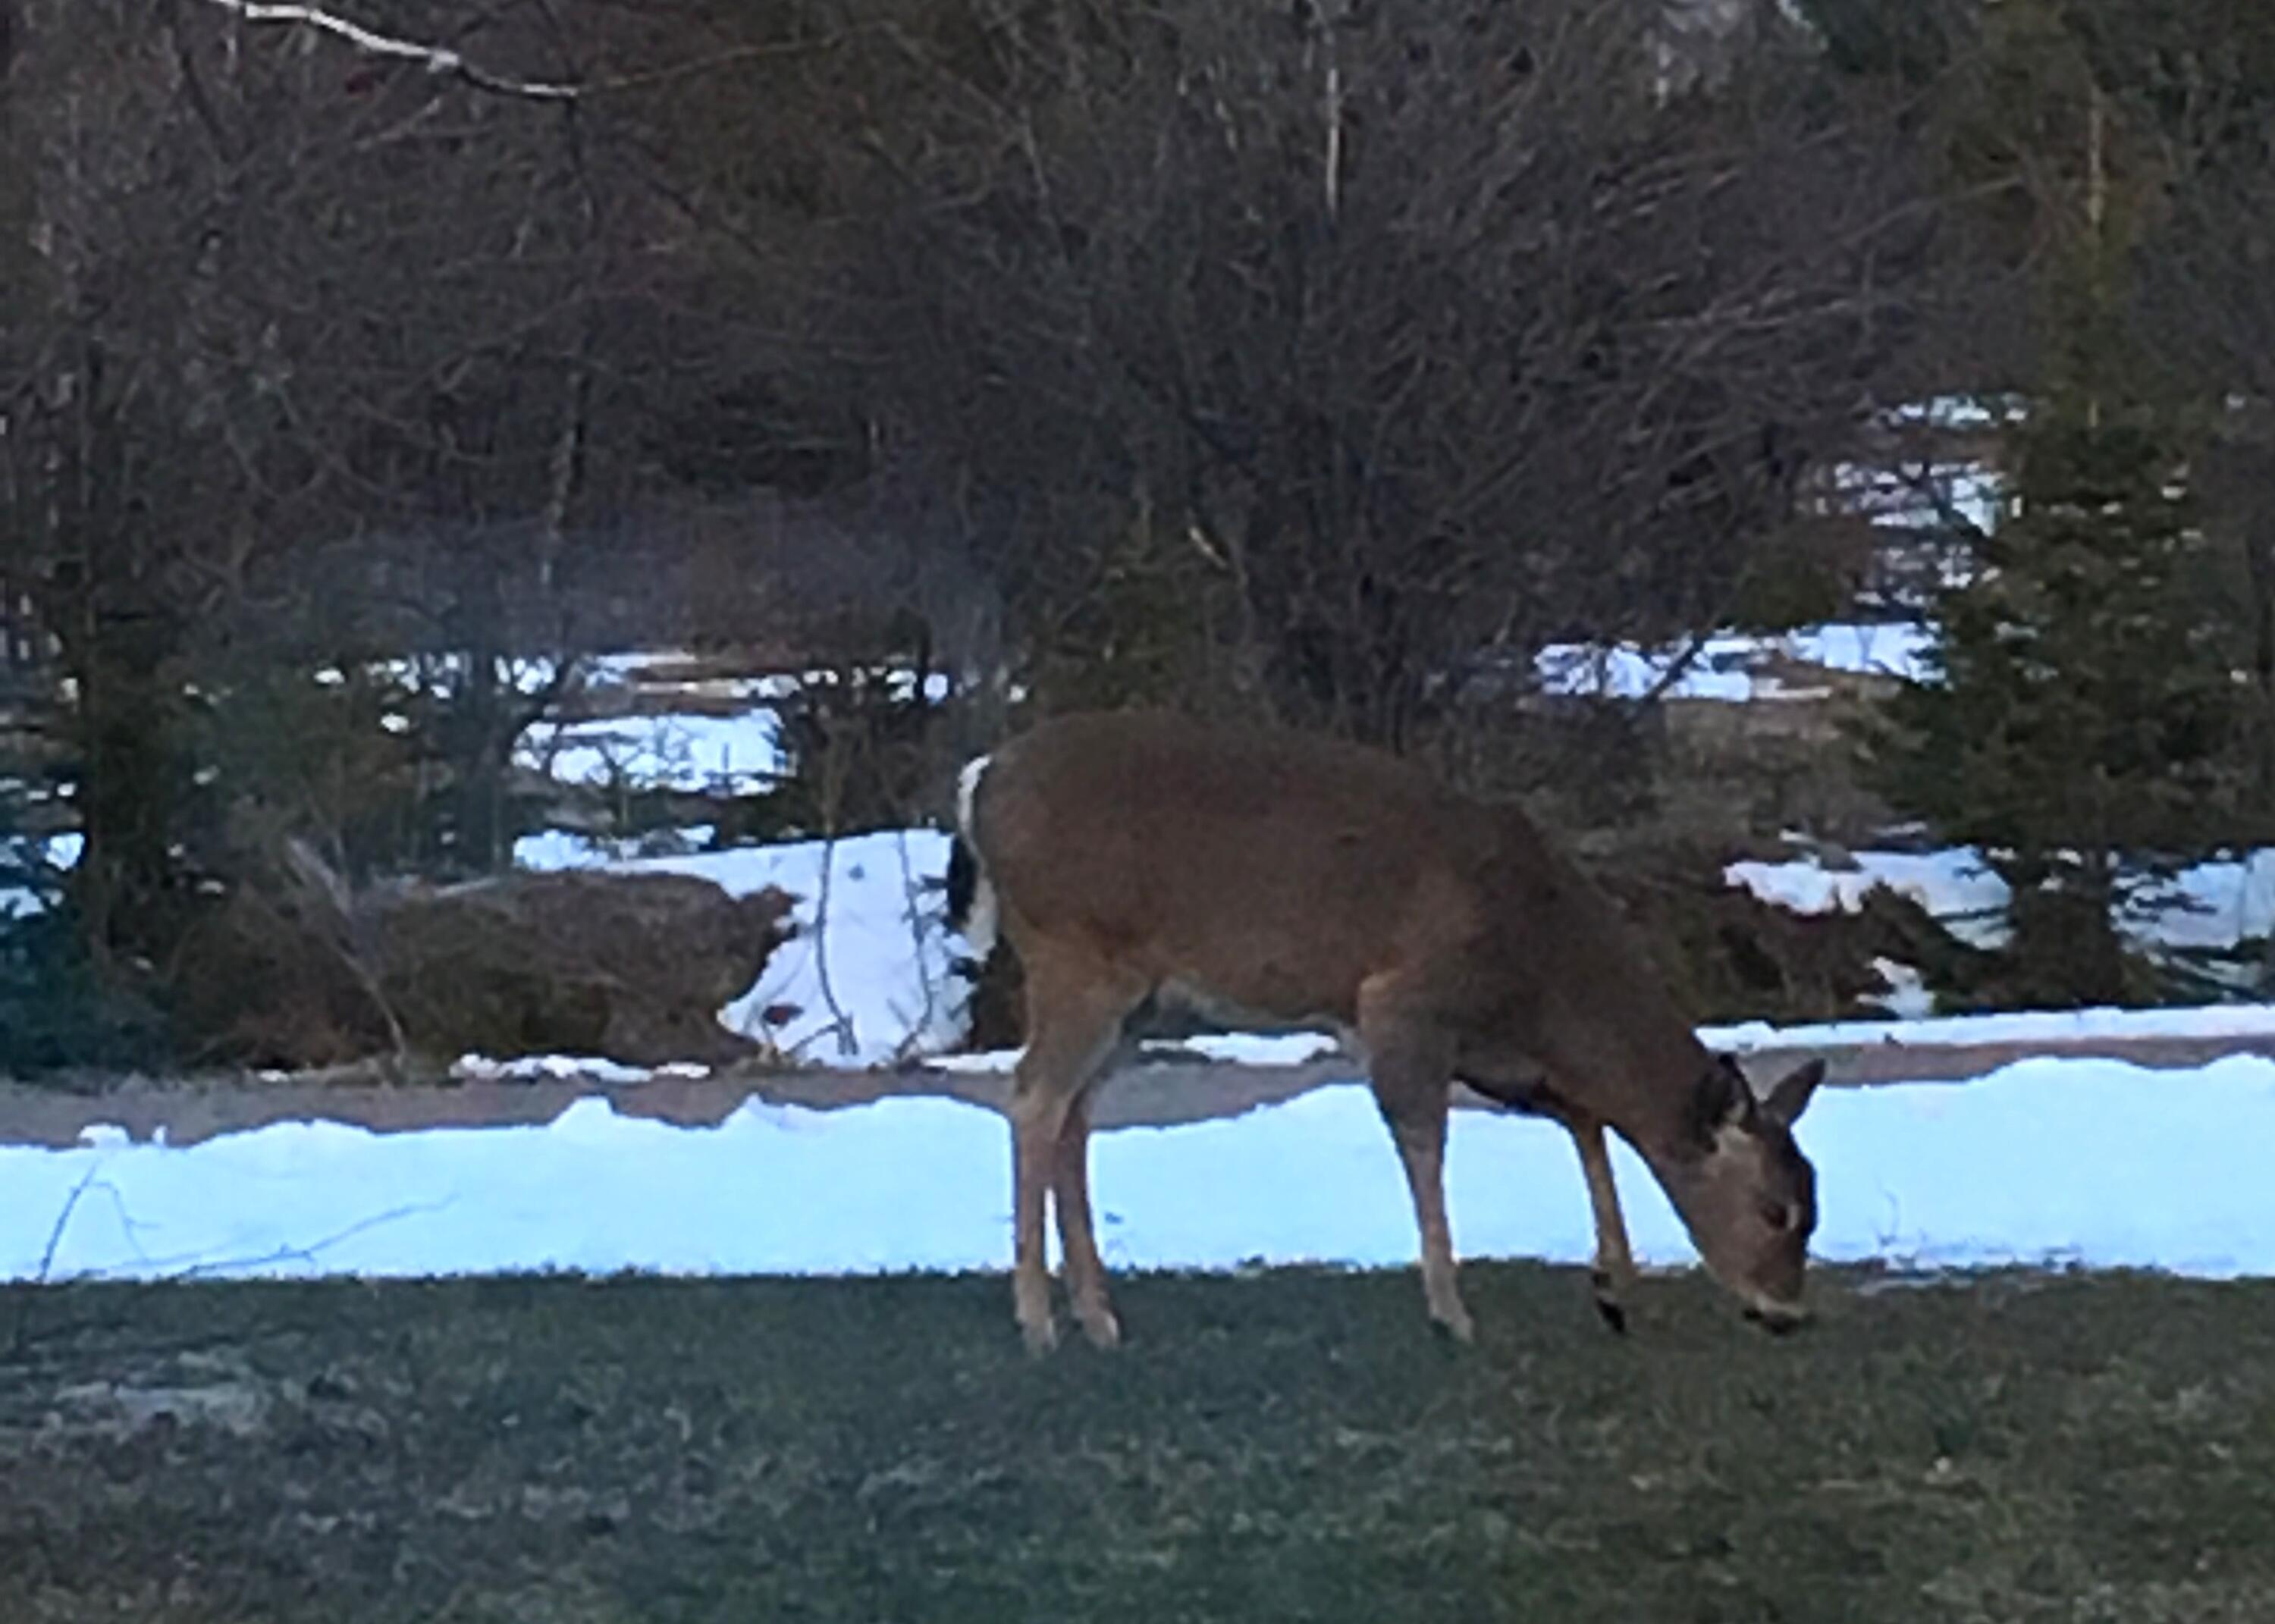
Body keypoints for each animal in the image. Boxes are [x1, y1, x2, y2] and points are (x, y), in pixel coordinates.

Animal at [948, 708, 1826, 1354]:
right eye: (1774, 1210)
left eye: (1813, 1203)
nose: (1789, 1313)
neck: (1537, 967)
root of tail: (979, 780)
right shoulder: (1406, 1001)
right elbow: (1427, 1144)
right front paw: (1451, 1309)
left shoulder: (1499, 1051)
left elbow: (1584, 1119)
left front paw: (1614, 1284)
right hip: (1077, 954)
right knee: (1033, 1099)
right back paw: (1039, 1322)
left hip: (1140, 1001)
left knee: (1074, 1114)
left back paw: (1098, 1316)